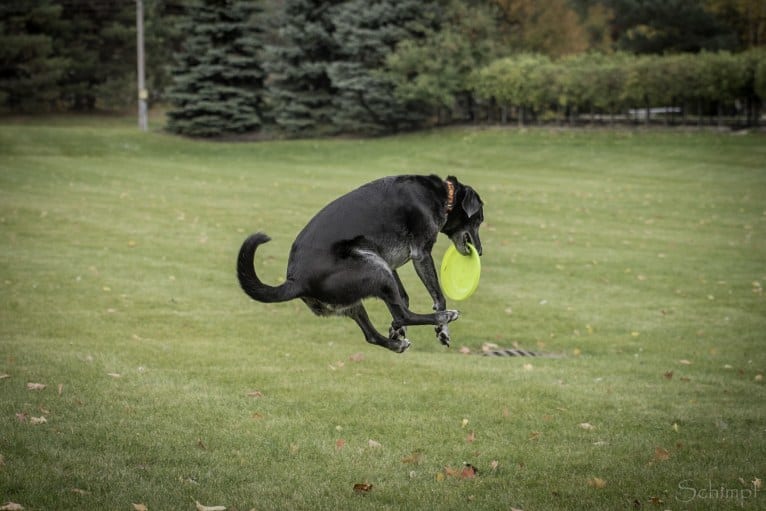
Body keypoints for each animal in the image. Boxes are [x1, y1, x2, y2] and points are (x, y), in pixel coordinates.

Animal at [238, 175, 486, 352]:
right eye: (479, 220)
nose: (481, 252)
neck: (443, 195)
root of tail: (295, 281)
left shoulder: (390, 263)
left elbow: (403, 297)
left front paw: (398, 332)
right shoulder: (421, 254)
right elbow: (438, 298)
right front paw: (442, 328)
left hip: (366, 282)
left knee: (373, 334)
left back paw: (396, 344)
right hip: (375, 269)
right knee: (403, 314)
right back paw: (445, 317)